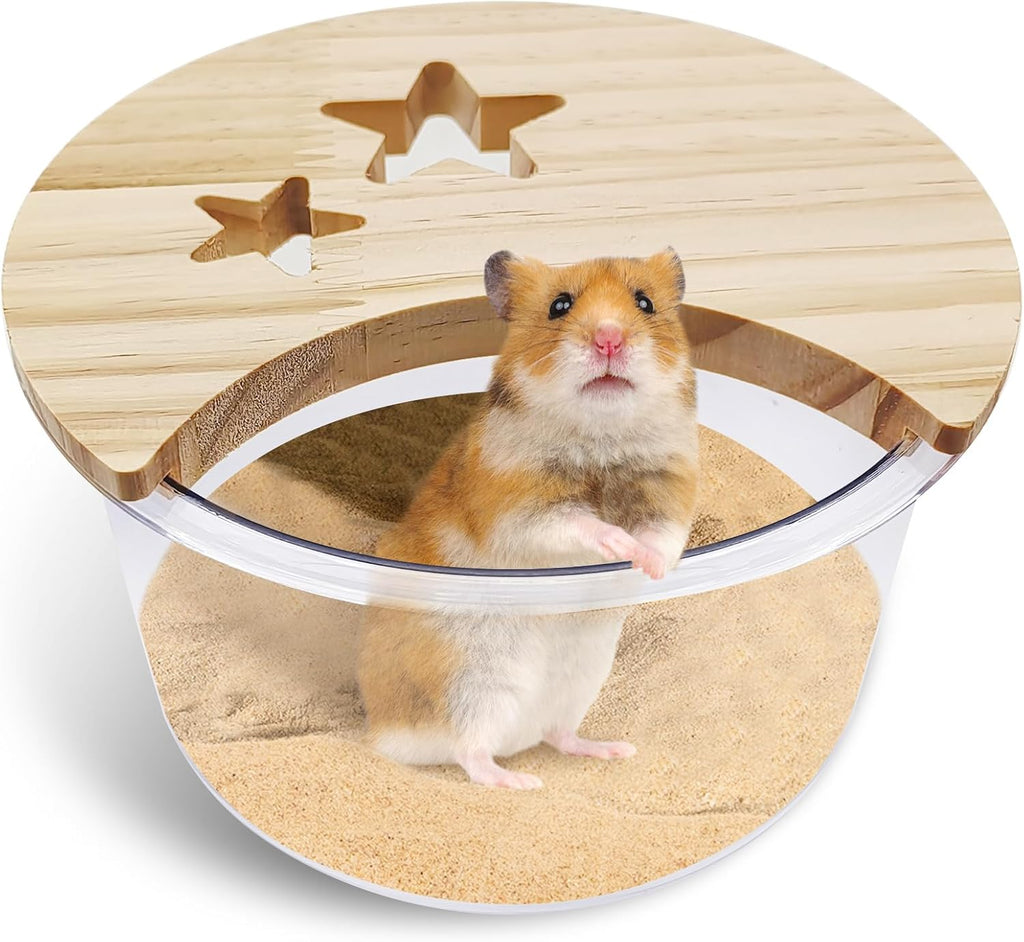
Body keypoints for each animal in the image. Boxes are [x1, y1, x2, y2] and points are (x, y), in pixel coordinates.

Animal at [358, 249, 698, 789]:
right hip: (473, 683)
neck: (602, 437)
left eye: (645, 302)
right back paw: (520, 782)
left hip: (579, 681)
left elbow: (662, 537)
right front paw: (622, 547)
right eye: (560, 305)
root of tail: (381, 735)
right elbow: (580, 524)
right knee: (470, 754)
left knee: (557, 734)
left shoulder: (671, 490)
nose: (609, 338)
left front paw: (650, 568)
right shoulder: (520, 507)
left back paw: (614, 750)